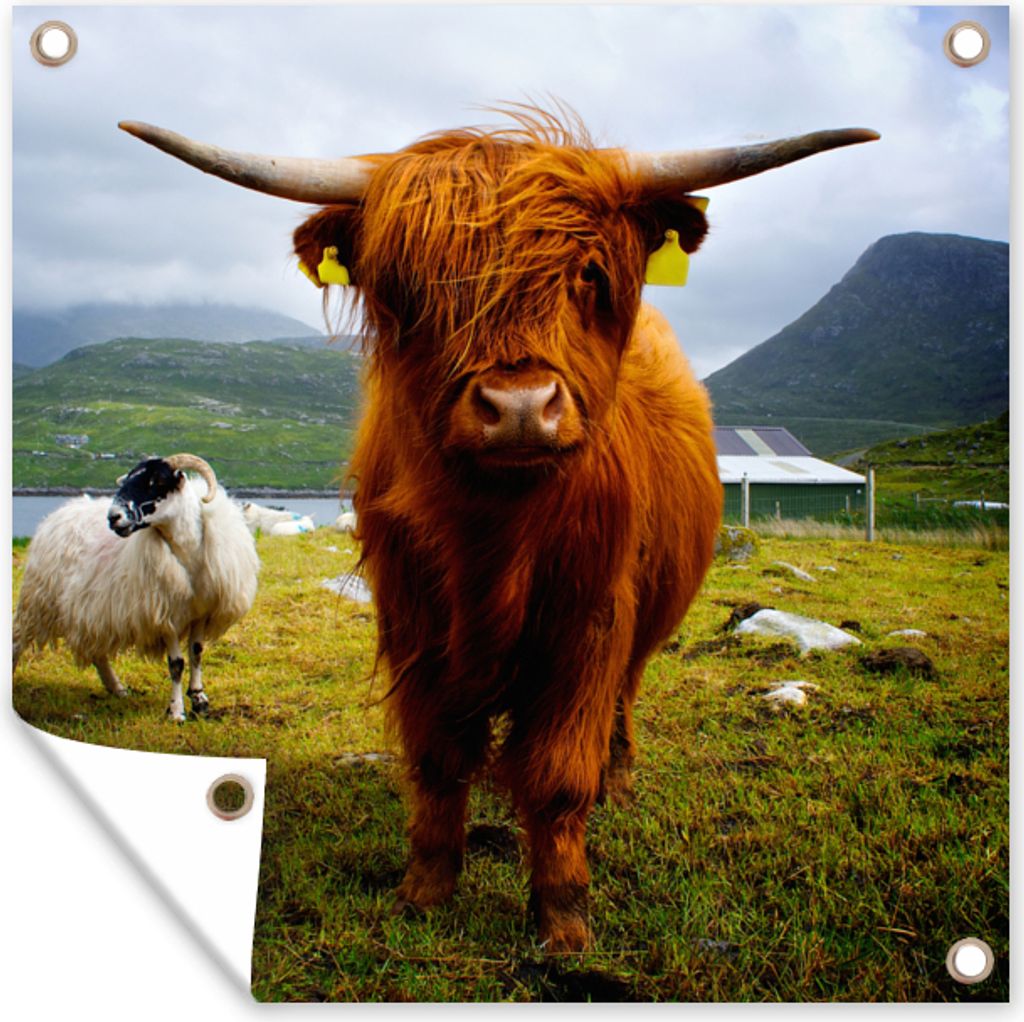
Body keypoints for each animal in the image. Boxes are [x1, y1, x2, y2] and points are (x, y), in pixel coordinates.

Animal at [13, 454, 260, 722]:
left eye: (157, 480)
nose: (113, 517)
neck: (187, 554)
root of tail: (63, 511)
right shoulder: (166, 615)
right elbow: (176, 663)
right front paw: (176, 711)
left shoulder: (201, 614)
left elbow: (196, 653)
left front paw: (199, 700)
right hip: (38, 601)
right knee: (17, 640)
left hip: (91, 609)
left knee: (97, 652)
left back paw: (117, 688)